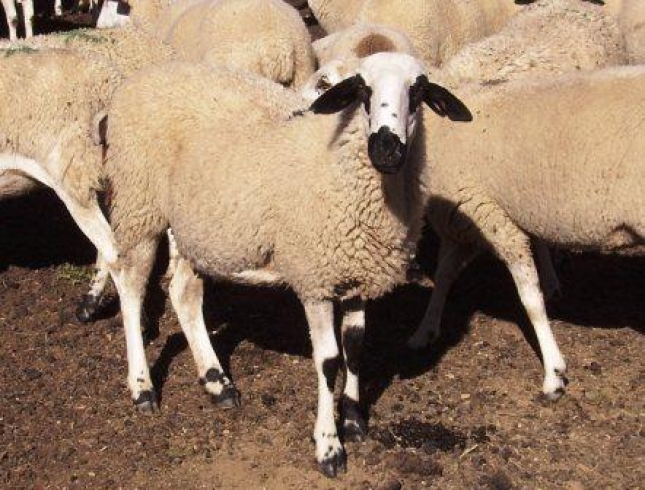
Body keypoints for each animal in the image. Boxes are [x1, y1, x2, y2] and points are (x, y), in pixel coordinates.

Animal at [101, 54, 471, 477]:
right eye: (362, 89)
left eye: (419, 91)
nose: (386, 149)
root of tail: (142, 77)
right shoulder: (315, 277)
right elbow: (329, 361)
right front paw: (328, 445)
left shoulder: (353, 272)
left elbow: (355, 347)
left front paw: (353, 419)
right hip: (139, 203)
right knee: (131, 289)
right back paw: (142, 386)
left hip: (196, 228)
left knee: (184, 293)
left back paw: (217, 381)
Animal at [406, 65, 644, 399]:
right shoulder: (459, 224)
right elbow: (443, 278)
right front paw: (424, 330)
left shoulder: (494, 218)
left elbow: (530, 299)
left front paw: (553, 374)